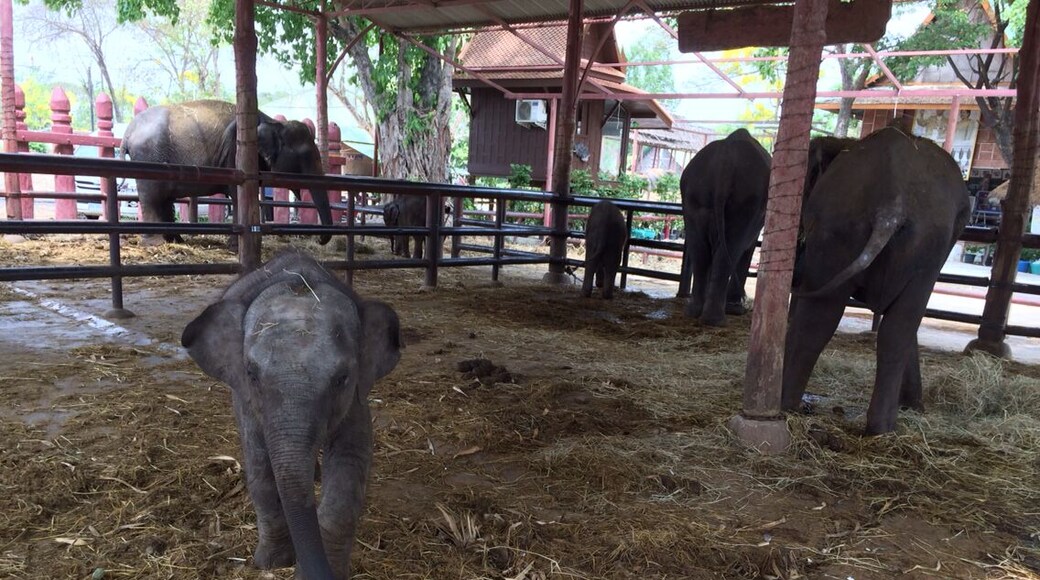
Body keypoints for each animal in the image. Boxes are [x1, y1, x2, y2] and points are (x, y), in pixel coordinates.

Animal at [121, 100, 335, 246]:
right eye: (306, 157)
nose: (319, 240)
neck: (273, 122)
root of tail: (128, 132)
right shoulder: (235, 153)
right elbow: (238, 195)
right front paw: (235, 246)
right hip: (148, 157)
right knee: (152, 197)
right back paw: (154, 243)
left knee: (164, 198)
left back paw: (176, 241)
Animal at [181, 251, 401, 579]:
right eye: (251, 374)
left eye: (342, 379)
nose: (309, 569)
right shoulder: (245, 398)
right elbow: (260, 464)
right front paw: (271, 562)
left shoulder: (357, 395)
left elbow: (350, 460)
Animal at [678, 129, 771, 325]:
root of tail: (725, 163)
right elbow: (747, 248)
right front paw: (736, 309)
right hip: (746, 202)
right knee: (732, 248)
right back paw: (716, 319)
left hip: (692, 197)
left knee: (700, 250)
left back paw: (694, 312)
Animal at [782, 127, 970, 435]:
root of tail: (892, 203)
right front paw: (913, 407)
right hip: (911, 245)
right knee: (894, 327)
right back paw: (880, 427)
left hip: (845, 232)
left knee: (826, 319)